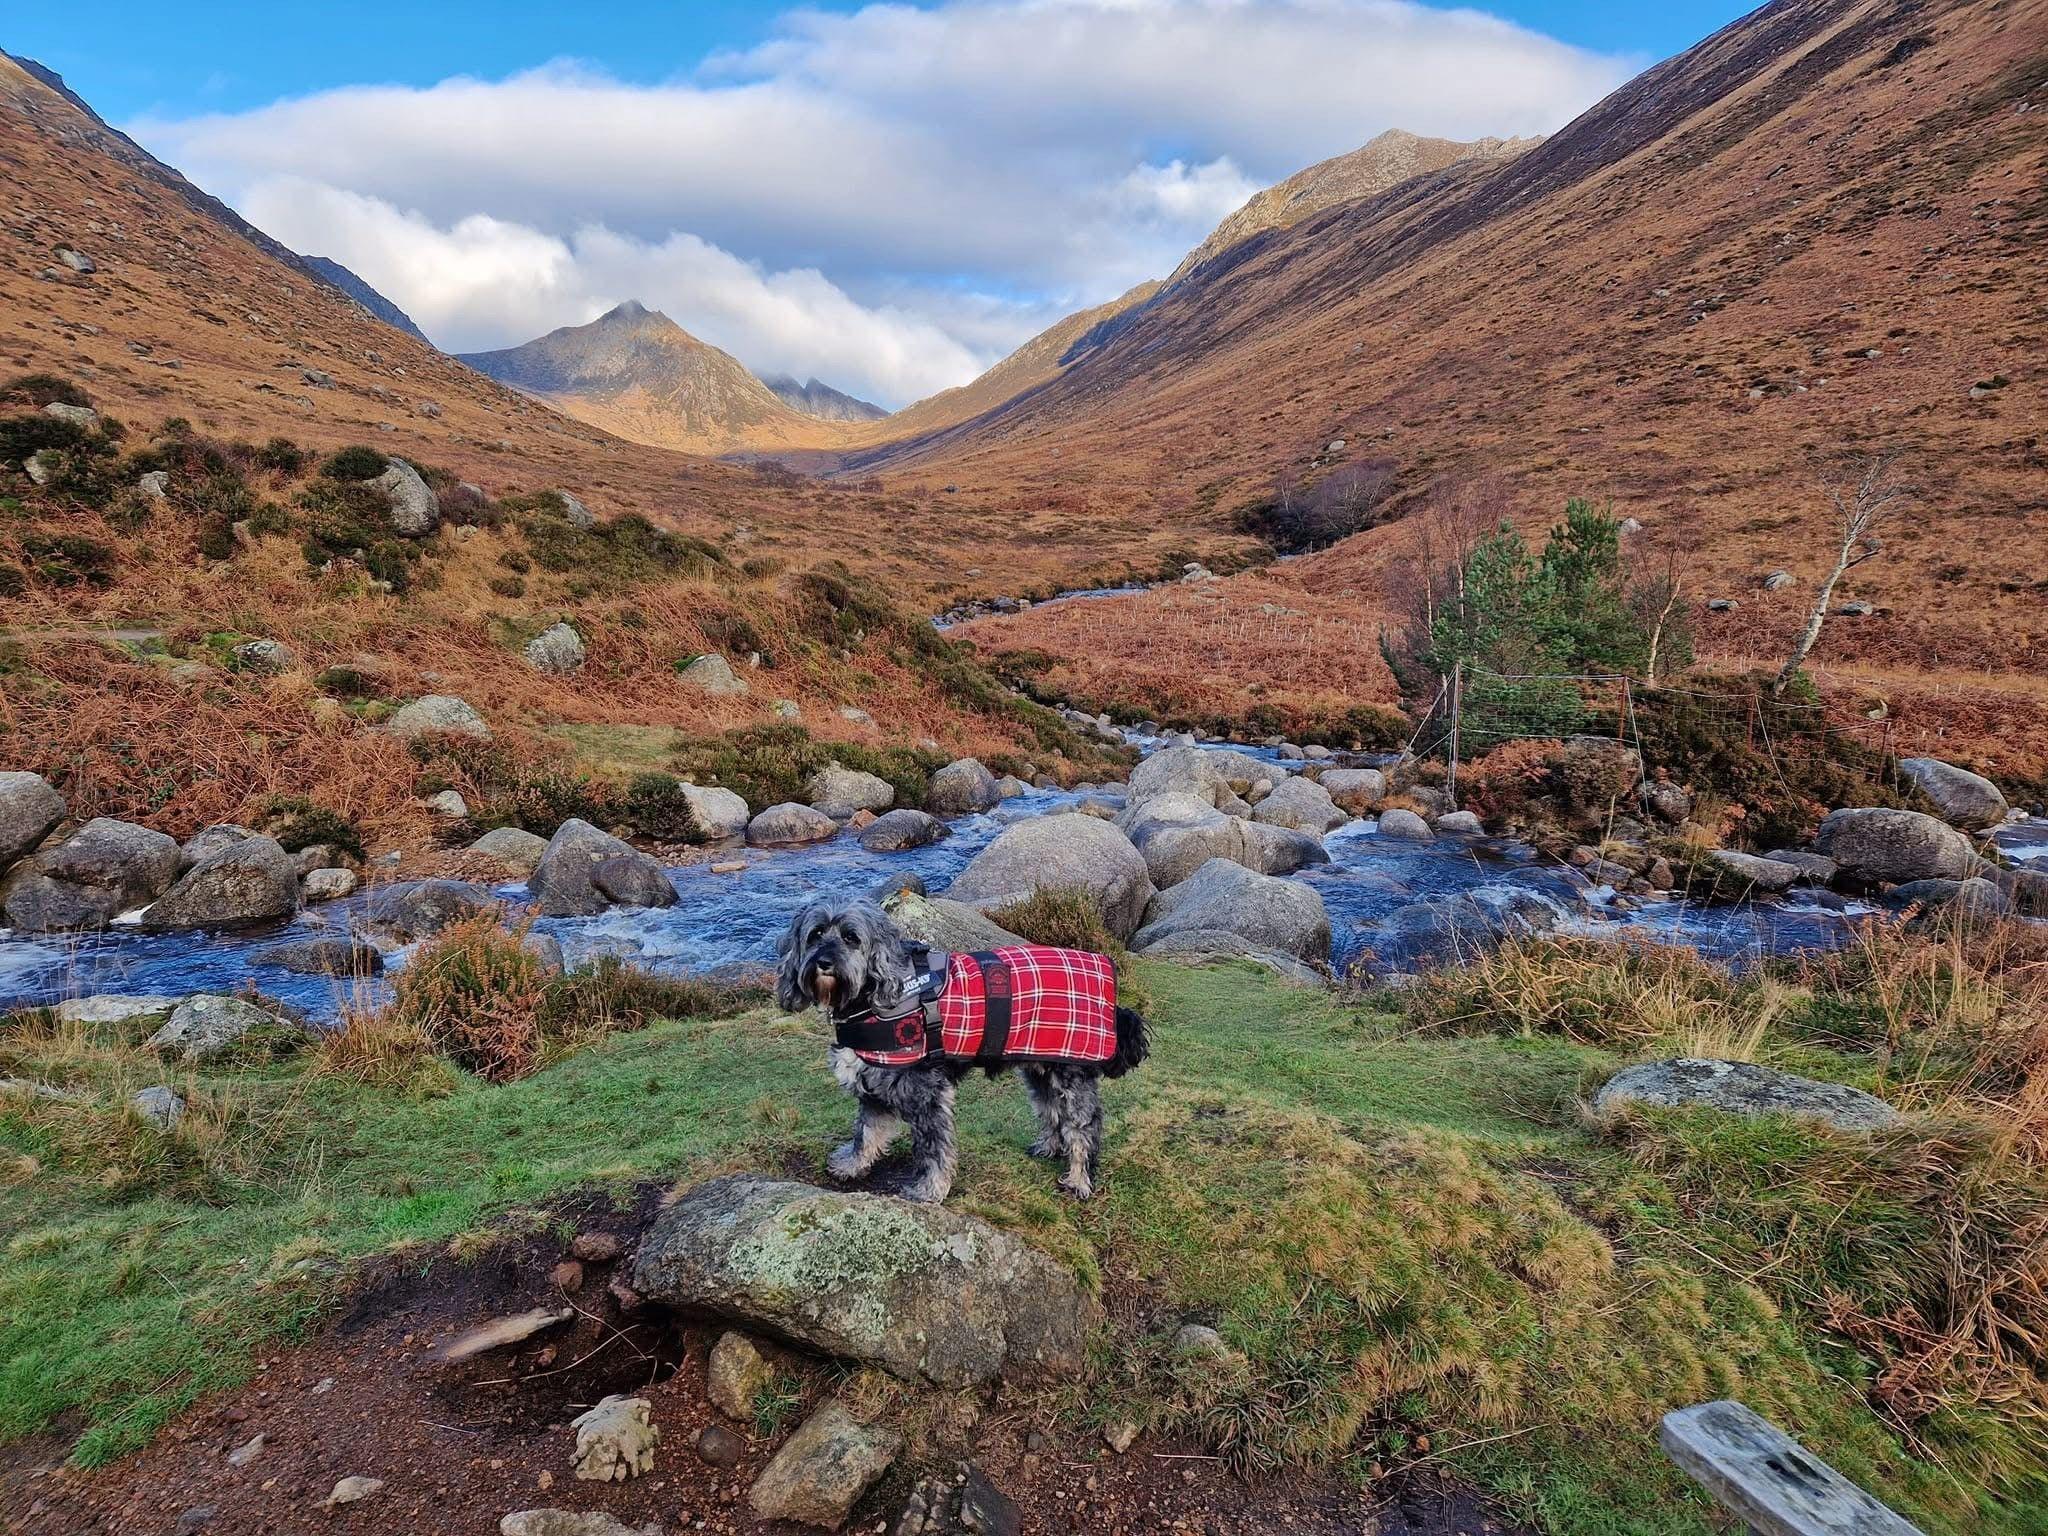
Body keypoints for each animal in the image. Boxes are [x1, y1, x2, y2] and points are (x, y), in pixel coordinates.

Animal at [774, 897, 1146, 1212]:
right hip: (1041, 1068)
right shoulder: (875, 1085)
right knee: (1051, 1112)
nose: (823, 962)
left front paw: (929, 1190)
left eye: (852, 937)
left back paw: (1080, 1179)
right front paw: (852, 1164)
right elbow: (866, 1132)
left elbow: (932, 1149)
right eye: (815, 934)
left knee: (1084, 1127)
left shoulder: (925, 1092)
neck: (873, 995)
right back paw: (1049, 1147)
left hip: (1071, 1074)